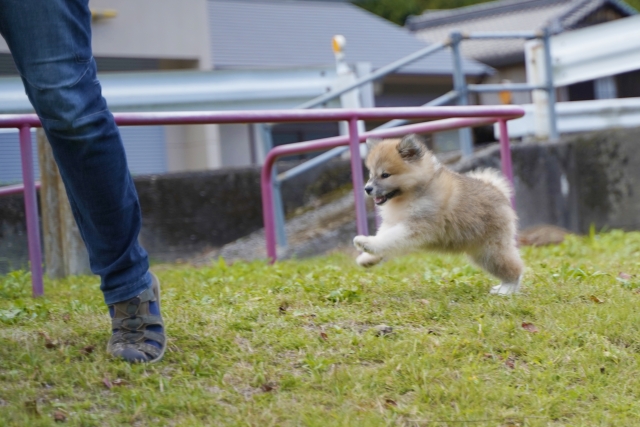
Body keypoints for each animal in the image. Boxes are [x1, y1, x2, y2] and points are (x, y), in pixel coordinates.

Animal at [352, 135, 524, 296]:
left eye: (385, 175)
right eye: (371, 174)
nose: (367, 188)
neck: (413, 193)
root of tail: (498, 190)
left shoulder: (415, 226)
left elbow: (388, 238)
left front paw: (365, 243)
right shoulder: (393, 223)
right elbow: (384, 238)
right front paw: (367, 258)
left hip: (491, 250)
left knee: (514, 268)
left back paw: (507, 290)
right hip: (481, 254)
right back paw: (501, 288)